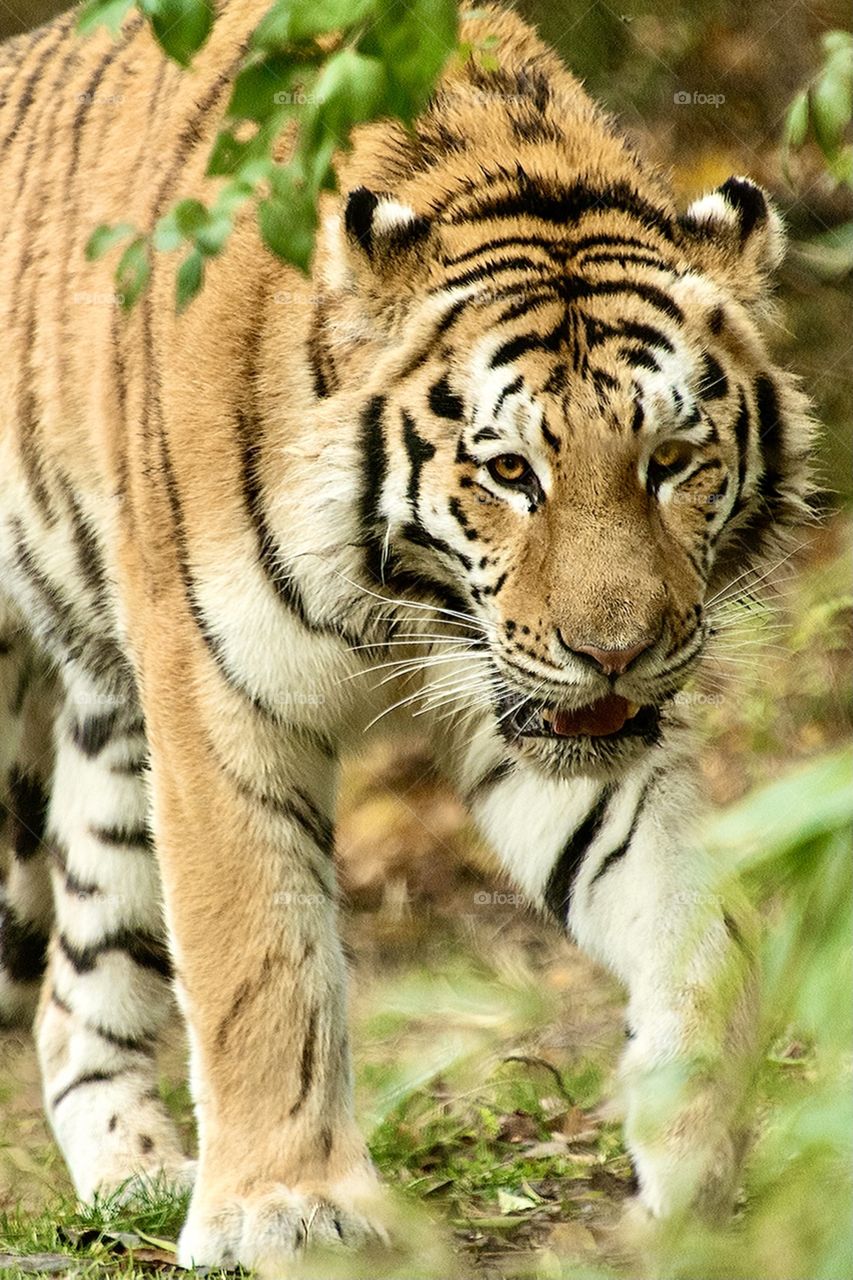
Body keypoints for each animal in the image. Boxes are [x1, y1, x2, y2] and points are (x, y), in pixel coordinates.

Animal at [0, 0, 814, 1272]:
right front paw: (283, 1205)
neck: (407, 599)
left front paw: (687, 1153)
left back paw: (135, 1179)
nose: (618, 649)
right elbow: (258, 960)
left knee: (75, 982)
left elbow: (699, 927)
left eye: (670, 460)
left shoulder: (543, 710)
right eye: (510, 471)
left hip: (110, 722)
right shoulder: (218, 692)